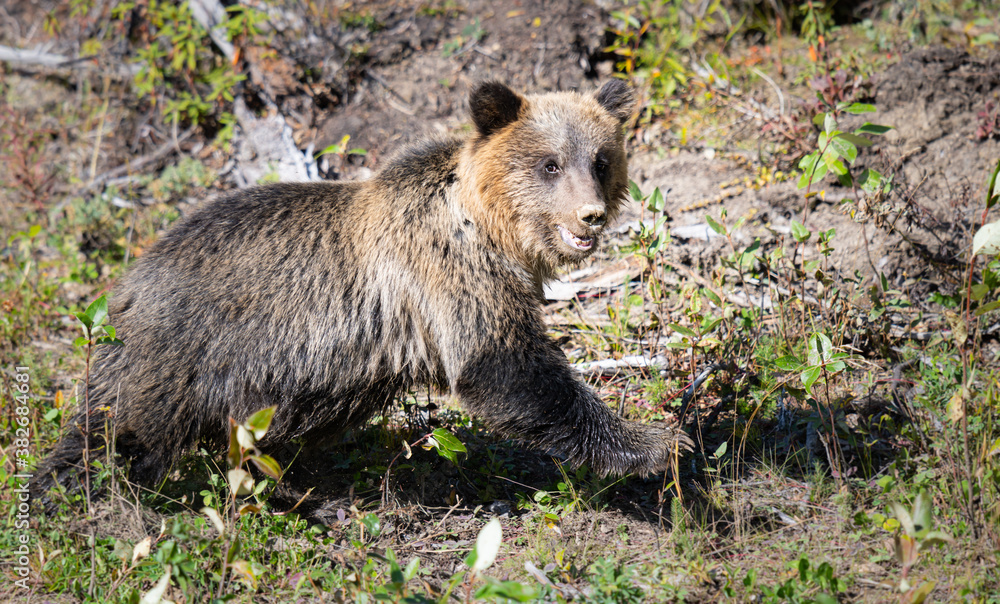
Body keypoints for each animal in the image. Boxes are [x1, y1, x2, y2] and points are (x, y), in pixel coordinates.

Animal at [34, 80, 693, 508]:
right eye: (551, 163)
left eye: (602, 159)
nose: (590, 217)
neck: (489, 228)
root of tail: (126, 284)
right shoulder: (447, 278)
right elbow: (510, 372)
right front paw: (657, 444)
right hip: (180, 356)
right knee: (117, 434)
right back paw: (72, 501)